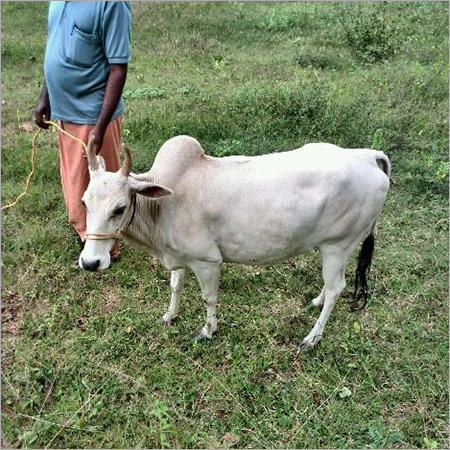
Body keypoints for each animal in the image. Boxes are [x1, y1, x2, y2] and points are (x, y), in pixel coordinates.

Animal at [79, 134, 388, 352]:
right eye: (84, 202)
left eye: (119, 208)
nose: (90, 262)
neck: (162, 205)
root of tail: (367, 156)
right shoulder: (179, 258)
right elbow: (175, 287)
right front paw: (168, 316)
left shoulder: (207, 262)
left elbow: (209, 298)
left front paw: (207, 331)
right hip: (334, 249)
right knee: (331, 285)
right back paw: (315, 301)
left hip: (338, 245)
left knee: (337, 288)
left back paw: (312, 337)